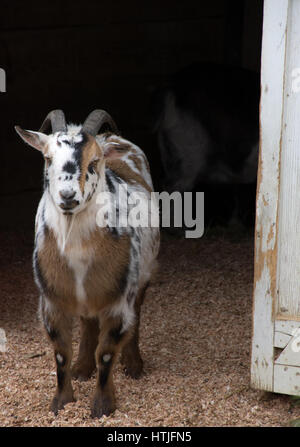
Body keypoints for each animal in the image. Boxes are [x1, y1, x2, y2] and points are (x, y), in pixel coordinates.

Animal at [14, 110, 159, 418]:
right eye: (47, 159)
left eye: (94, 162)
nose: (68, 196)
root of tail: (111, 137)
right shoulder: (52, 301)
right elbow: (61, 353)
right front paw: (62, 402)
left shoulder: (118, 301)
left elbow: (106, 353)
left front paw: (103, 406)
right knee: (88, 321)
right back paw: (82, 368)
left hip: (142, 276)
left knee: (138, 314)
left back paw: (134, 365)